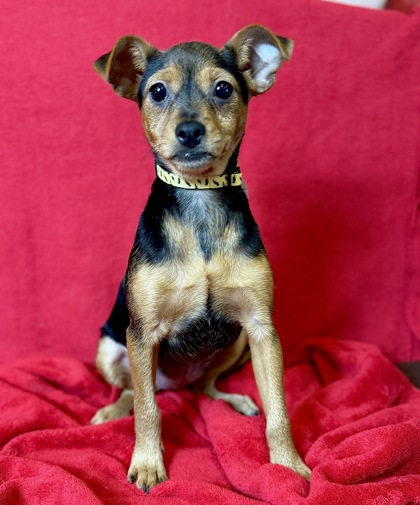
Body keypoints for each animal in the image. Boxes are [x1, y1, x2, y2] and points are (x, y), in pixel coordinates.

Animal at [91, 24, 311, 492]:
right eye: (157, 91)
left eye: (224, 89)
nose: (190, 130)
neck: (200, 197)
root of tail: (174, 384)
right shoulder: (143, 334)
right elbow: (148, 411)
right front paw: (148, 464)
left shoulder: (262, 329)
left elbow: (279, 409)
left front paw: (288, 465)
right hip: (111, 346)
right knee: (135, 391)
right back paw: (113, 410)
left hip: (236, 344)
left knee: (204, 387)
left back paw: (230, 400)